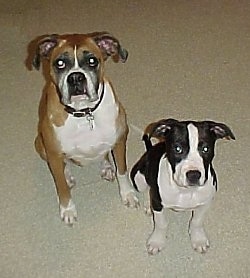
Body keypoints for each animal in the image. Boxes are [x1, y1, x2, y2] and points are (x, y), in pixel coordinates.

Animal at [29, 32, 140, 224]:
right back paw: (68, 175)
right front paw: (68, 209)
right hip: (40, 144)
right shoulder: (53, 152)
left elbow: (122, 171)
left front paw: (128, 194)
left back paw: (106, 167)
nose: (75, 77)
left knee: (104, 155)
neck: (84, 112)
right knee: (64, 165)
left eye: (92, 61)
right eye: (60, 63)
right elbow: (61, 186)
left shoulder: (120, 141)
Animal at [130, 117, 235, 254]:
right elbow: (160, 223)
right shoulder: (158, 204)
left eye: (205, 149)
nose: (194, 175)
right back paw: (149, 205)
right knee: (148, 189)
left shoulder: (205, 203)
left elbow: (197, 221)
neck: (185, 191)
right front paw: (157, 241)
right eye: (178, 149)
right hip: (139, 179)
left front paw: (198, 239)